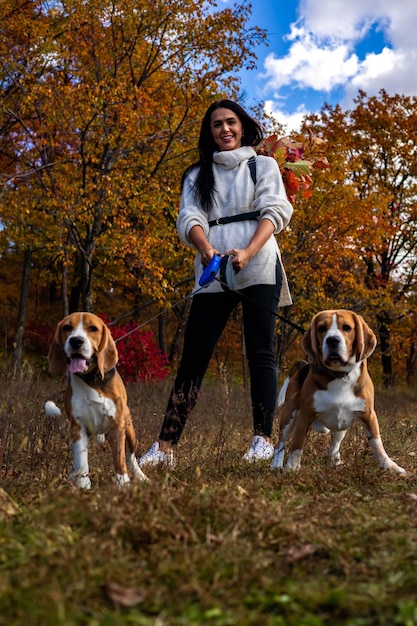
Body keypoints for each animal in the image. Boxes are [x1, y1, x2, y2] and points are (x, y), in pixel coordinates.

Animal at [44, 312, 147, 488]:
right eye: (67, 327)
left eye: (93, 328)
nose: (76, 341)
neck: (91, 379)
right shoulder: (78, 426)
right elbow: (82, 461)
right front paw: (83, 484)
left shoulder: (117, 426)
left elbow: (119, 458)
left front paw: (122, 483)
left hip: (130, 431)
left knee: (131, 456)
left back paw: (140, 476)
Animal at [272, 308, 404, 472]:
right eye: (322, 328)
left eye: (346, 327)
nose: (332, 340)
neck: (340, 375)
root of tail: (304, 365)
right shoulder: (304, 415)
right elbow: (297, 444)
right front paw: (291, 468)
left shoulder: (369, 415)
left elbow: (377, 443)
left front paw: (391, 467)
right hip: (289, 414)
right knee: (281, 443)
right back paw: (275, 465)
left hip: (342, 425)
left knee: (334, 446)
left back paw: (336, 461)